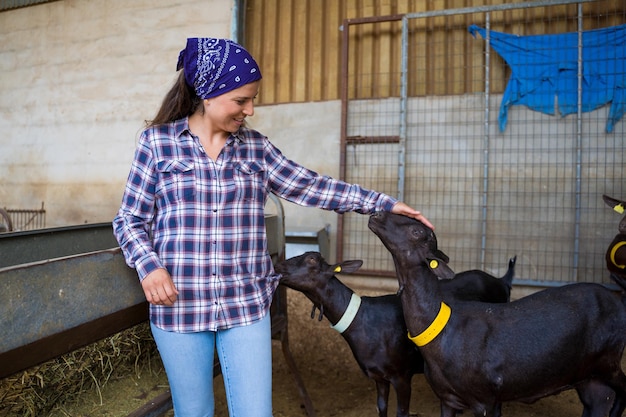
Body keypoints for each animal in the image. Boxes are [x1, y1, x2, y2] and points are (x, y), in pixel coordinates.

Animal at [276, 250, 516, 416]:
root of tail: (501, 281)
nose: (277, 265)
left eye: (312, 260)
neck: (363, 321)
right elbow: (381, 407)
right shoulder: (378, 376)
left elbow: (402, 412)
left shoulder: (402, 375)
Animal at [366, 211, 624, 416]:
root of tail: (618, 302)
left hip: (609, 359)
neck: (442, 333)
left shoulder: (485, 399)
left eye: (417, 231)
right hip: (588, 376)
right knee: (599, 401)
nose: (376, 214)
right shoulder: (447, 398)